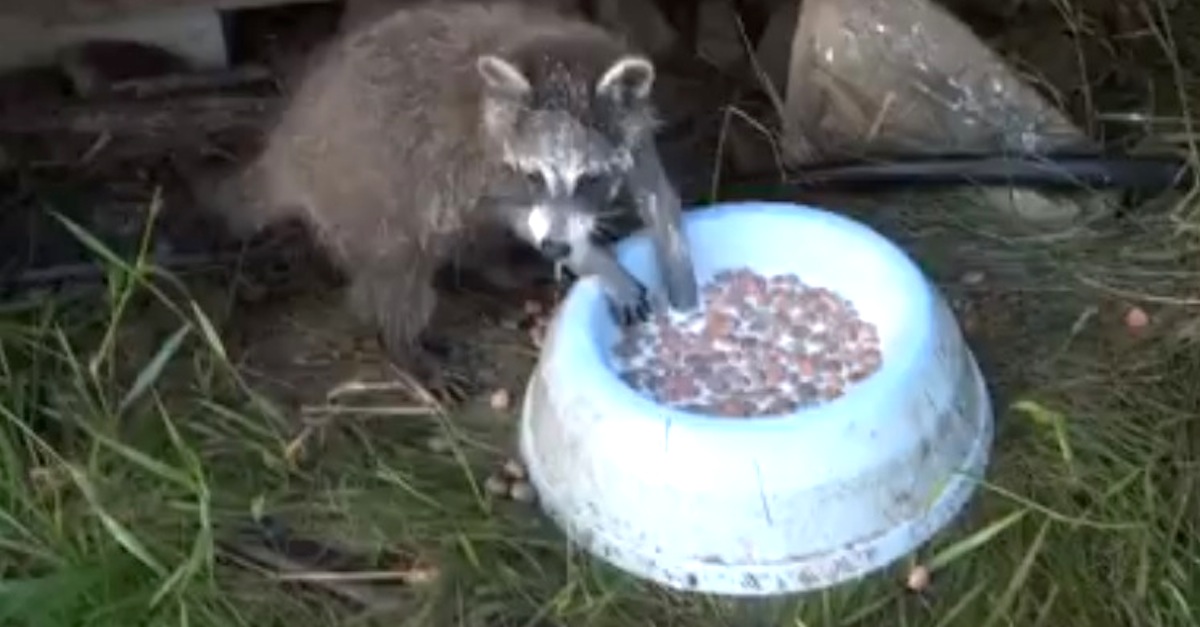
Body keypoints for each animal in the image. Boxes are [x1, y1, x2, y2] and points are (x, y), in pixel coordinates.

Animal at [212, 0, 672, 386]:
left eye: (590, 178)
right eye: (535, 175)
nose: (557, 247)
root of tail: (286, 148)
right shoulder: (471, 164)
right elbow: (513, 213)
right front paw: (596, 259)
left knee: (468, 238)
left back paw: (498, 267)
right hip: (372, 193)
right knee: (398, 271)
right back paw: (403, 342)